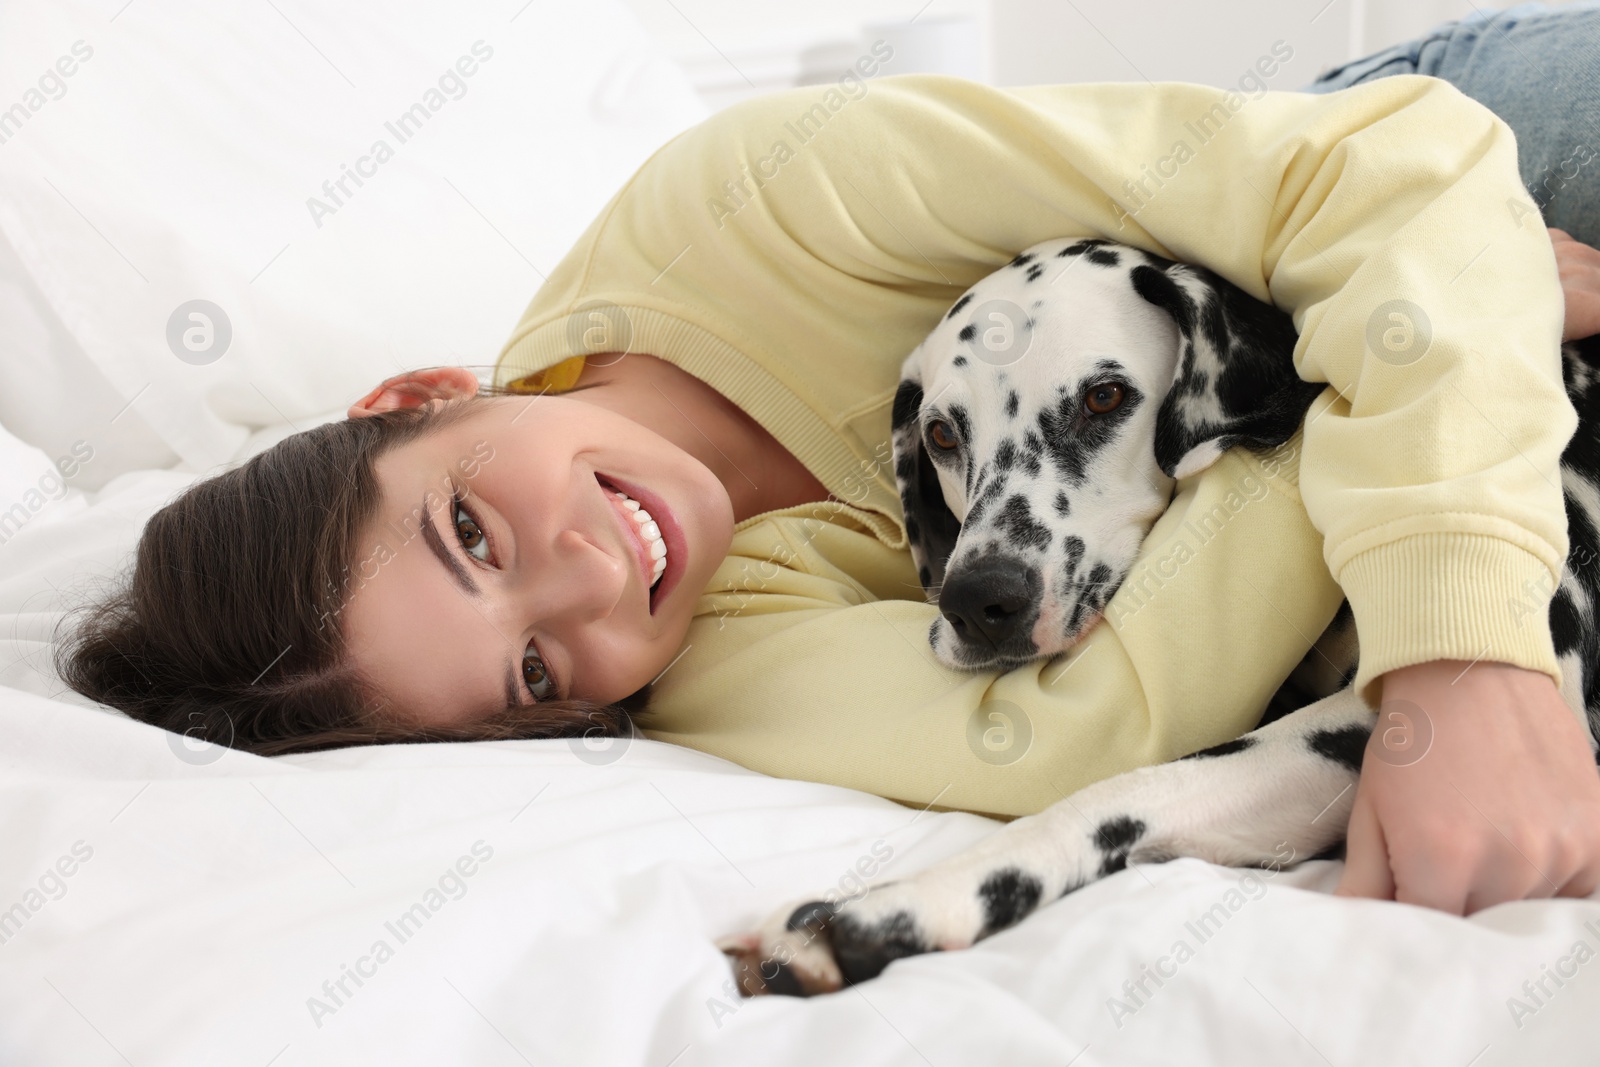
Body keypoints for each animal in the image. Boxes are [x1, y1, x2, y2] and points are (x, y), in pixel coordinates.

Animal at [720, 235, 1600, 1004]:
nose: (981, 601)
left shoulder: (1393, 724)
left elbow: (1119, 788)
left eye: (1104, 397)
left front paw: (896, 906)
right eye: (940, 433)